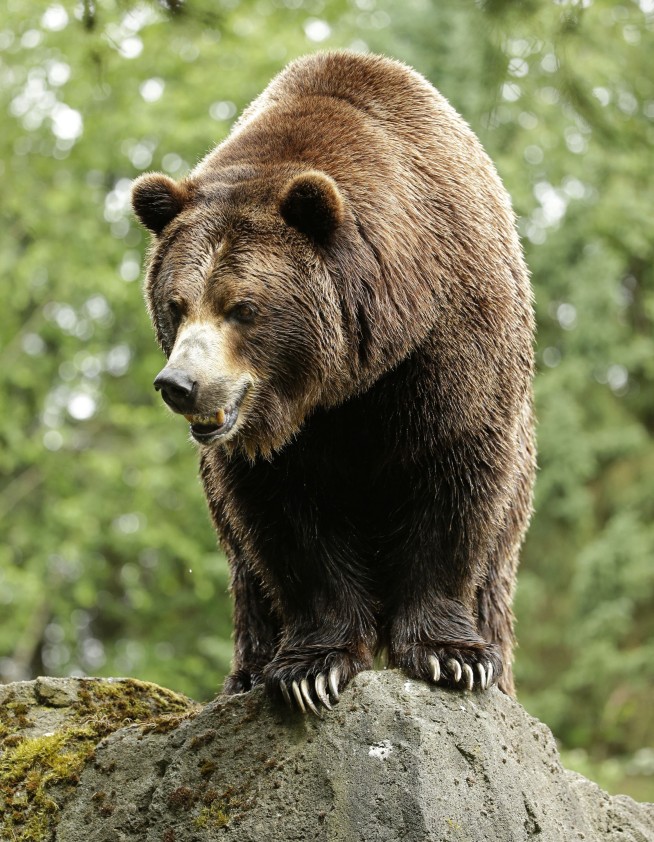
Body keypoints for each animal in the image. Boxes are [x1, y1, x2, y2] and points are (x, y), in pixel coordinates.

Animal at [131, 51, 535, 715]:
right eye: (176, 304)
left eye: (243, 307)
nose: (180, 384)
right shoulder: (278, 444)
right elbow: (289, 524)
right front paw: (310, 669)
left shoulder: (449, 348)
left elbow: (454, 481)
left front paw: (452, 657)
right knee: (247, 573)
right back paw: (247, 672)